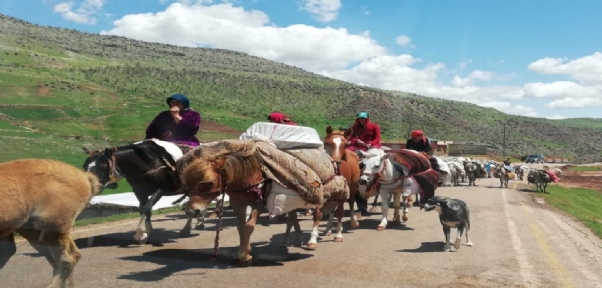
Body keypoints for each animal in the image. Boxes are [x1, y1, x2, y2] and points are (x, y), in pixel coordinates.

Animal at [177, 140, 346, 266]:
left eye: (209, 183)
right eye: (187, 182)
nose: (192, 211)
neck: (246, 176)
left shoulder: (257, 203)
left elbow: (249, 226)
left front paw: (245, 257)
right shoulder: (238, 204)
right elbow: (241, 227)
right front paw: (244, 250)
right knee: (292, 216)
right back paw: (293, 239)